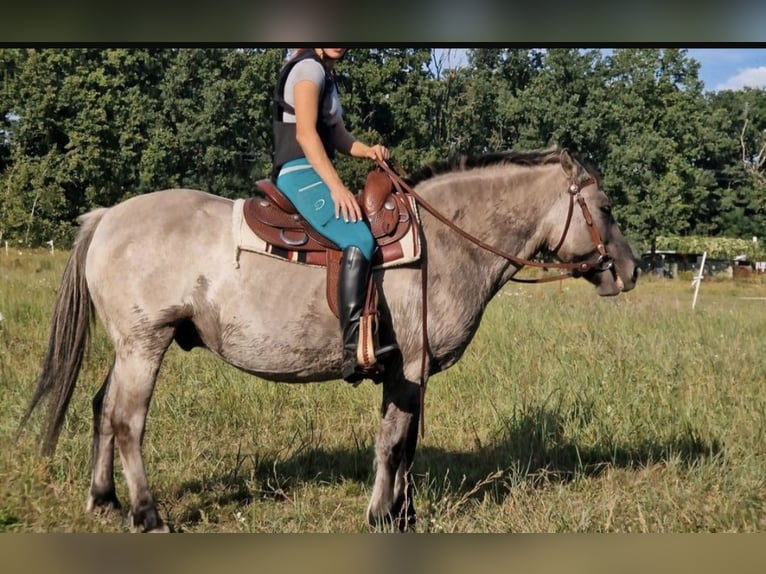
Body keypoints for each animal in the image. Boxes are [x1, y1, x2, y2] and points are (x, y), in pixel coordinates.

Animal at [18, 146, 640, 532]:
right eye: (605, 207)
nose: (630, 270)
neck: (444, 243)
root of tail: (107, 216)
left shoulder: (405, 375)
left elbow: (404, 446)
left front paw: (404, 515)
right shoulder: (409, 368)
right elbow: (393, 445)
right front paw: (383, 517)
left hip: (129, 347)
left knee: (102, 409)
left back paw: (103, 501)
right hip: (145, 344)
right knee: (127, 422)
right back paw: (146, 514)